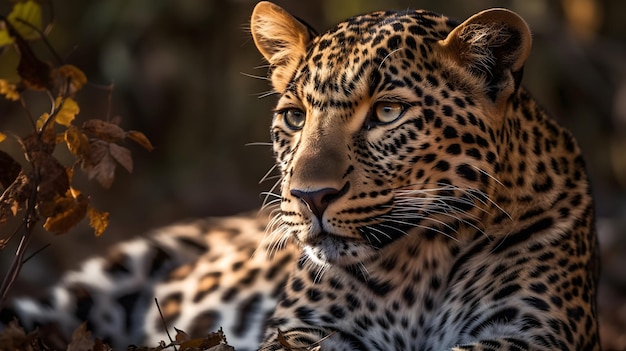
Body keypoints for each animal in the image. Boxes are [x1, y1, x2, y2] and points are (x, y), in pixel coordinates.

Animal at [0, 2, 596, 351]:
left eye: (387, 113)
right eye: (294, 116)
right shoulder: (308, 328)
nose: (309, 197)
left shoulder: (526, 333)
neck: (422, 259)